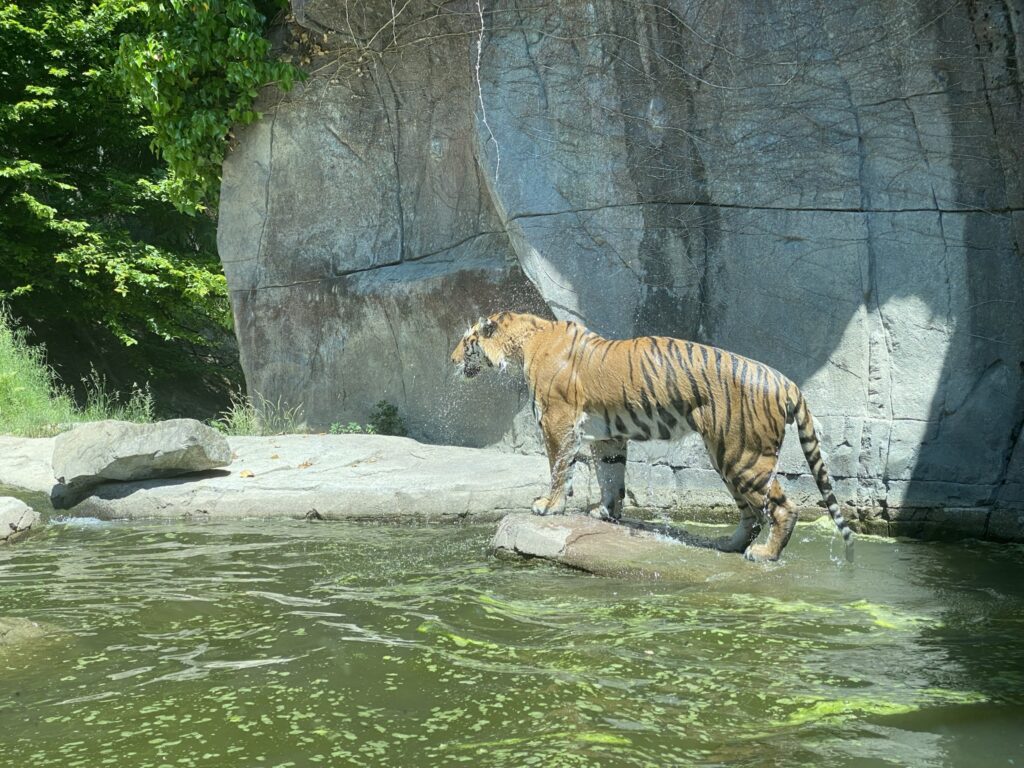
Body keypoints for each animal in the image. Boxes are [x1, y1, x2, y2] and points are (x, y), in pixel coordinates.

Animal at [451, 311, 854, 562]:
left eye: (466, 340)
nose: (451, 360)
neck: (525, 340)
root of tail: (784, 380)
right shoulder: (608, 436)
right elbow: (610, 475)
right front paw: (603, 512)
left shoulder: (557, 421)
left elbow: (559, 468)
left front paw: (548, 506)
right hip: (725, 455)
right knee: (751, 512)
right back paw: (727, 544)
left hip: (743, 455)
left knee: (782, 507)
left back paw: (765, 554)